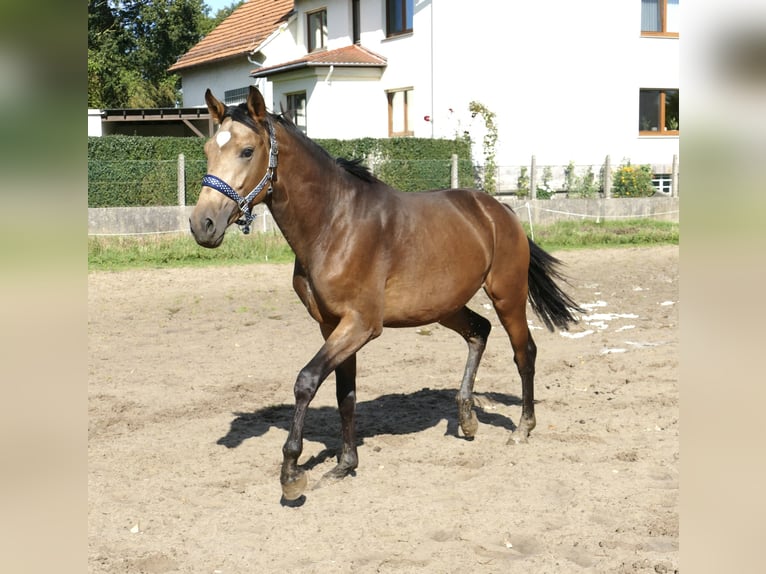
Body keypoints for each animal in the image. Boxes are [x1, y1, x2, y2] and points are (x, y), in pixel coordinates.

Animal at [190, 86, 584, 504]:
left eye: (247, 151)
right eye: (209, 150)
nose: (202, 224)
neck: (334, 224)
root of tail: (501, 210)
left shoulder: (361, 325)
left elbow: (306, 381)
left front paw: (292, 473)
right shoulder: (332, 325)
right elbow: (345, 393)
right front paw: (344, 465)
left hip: (508, 294)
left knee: (524, 353)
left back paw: (522, 428)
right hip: (444, 307)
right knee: (480, 331)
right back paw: (466, 418)